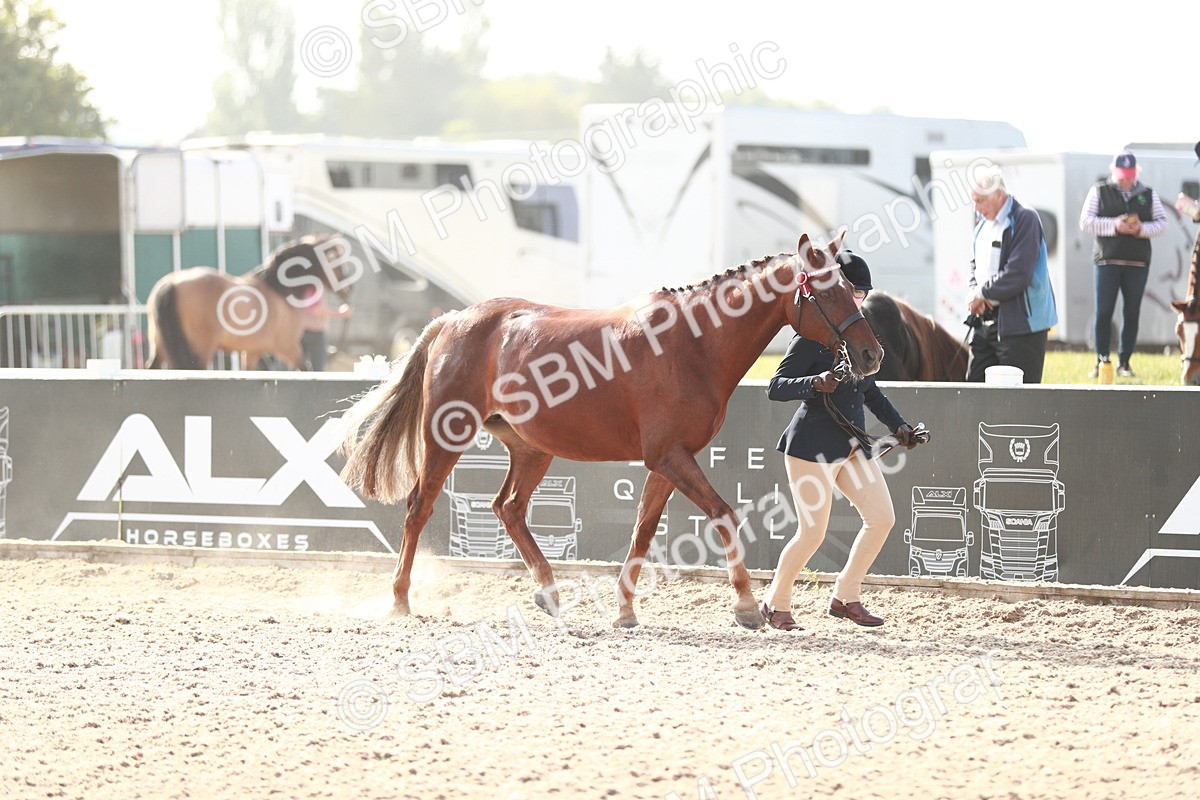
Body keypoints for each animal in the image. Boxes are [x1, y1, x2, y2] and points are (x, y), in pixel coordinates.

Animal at [146, 235, 349, 370]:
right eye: (336, 261)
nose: (348, 290)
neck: (279, 289)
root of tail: (172, 283)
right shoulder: (288, 347)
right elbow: (305, 368)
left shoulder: (252, 352)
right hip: (199, 349)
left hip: (160, 347)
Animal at [339, 232, 884, 630]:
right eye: (827, 291)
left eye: (848, 287)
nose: (871, 354)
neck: (693, 344)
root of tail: (453, 320)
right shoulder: (670, 457)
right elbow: (723, 516)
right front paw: (747, 607)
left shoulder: (668, 461)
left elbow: (642, 532)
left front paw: (625, 610)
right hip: (447, 436)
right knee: (419, 508)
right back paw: (400, 600)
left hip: (532, 449)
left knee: (508, 508)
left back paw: (550, 594)